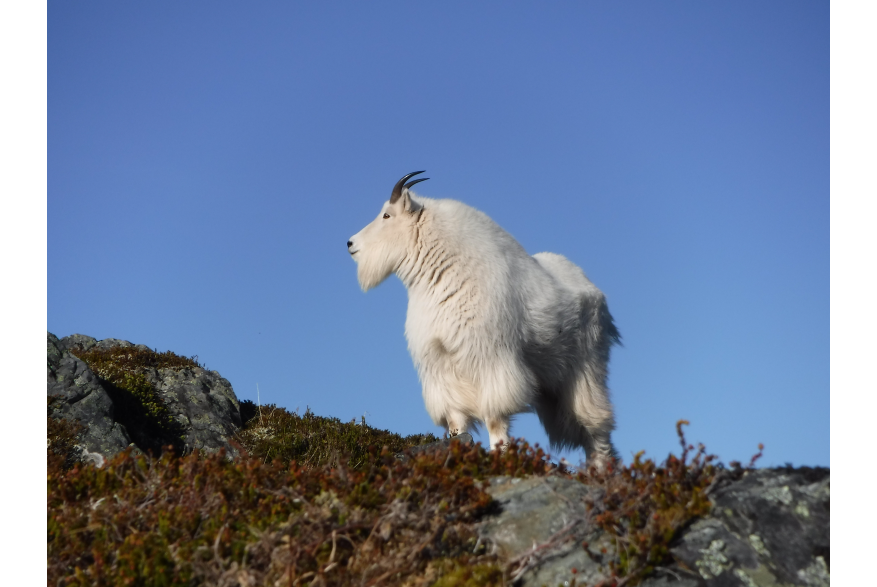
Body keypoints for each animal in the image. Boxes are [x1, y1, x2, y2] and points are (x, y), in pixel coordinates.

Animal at [346, 172, 620, 466]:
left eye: (387, 215)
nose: (351, 243)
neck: (441, 273)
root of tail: (595, 291)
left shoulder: (491, 360)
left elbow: (495, 418)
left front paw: (501, 453)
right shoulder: (441, 365)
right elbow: (456, 420)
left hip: (587, 371)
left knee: (597, 427)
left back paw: (600, 468)